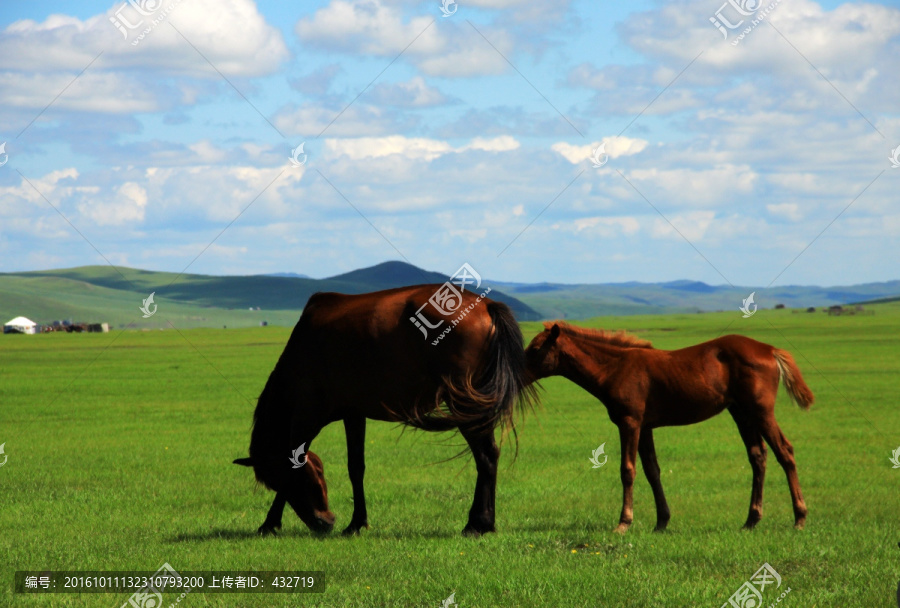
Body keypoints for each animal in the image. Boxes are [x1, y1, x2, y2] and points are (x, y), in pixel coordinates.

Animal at [236, 282, 536, 536]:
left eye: (275, 481)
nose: (324, 523)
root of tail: (486, 305)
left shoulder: (307, 416)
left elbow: (296, 463)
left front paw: (270, 522)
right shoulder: (353, 414)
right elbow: (356, 467)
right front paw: (357, 522)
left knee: (485, 457)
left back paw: (478, 523)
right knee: (490, 455)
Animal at [524, 324, 812, 532]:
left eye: (536, 348)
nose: (517, 372)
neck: (614, 368)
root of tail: (770, 349)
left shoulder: (630, 422)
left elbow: (627, 470)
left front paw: (623, 523)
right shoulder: (645, 427)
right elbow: (652, 470)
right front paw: (661, 522)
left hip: (760, 412)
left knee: (785, 451)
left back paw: (799, 518)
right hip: (741, 413)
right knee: (758, 456)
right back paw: (751, 520)